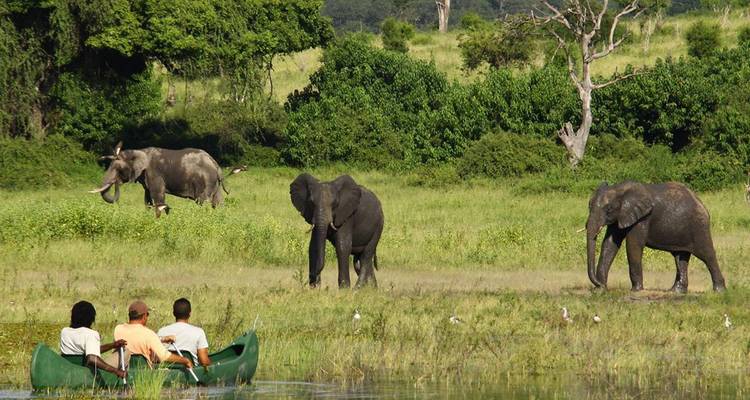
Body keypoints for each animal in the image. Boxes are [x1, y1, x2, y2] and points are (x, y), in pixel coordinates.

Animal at [89, 142, 244, 217]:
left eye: (118, 169)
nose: (116, 182)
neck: (138, 151)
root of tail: (216, 165)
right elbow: (147, 198)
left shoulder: (154, 174)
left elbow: (157, 196)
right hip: (214, 183)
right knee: (218, 202)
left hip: (206, 181)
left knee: (202, 201)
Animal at [586, 181, 726, 293]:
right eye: (589, 206)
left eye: (608, 209)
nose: (598, 284)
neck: (619, 189)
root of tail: (702, 204)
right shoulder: (621, 216)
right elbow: (610, 244)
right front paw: (600, 290)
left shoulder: (643, 218)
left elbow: (633, 245)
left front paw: (636, 290)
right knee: (680, 257)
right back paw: (675, 291)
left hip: (699, 226)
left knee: (707, 255)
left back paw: (719, 291)